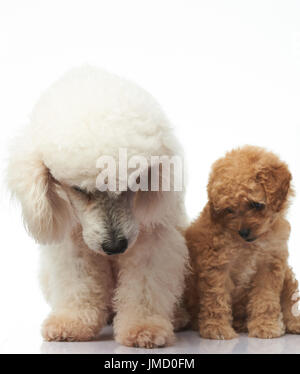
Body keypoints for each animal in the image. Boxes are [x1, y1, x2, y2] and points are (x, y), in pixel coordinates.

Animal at [185, 145, 300, 338]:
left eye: (256, 205)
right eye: (229, 210)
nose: (244, 232)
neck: (250, 245)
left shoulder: (270, 265)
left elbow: (266, 299)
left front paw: (264, 326)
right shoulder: (217, 265)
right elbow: (215, 298)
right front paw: (216, 328)